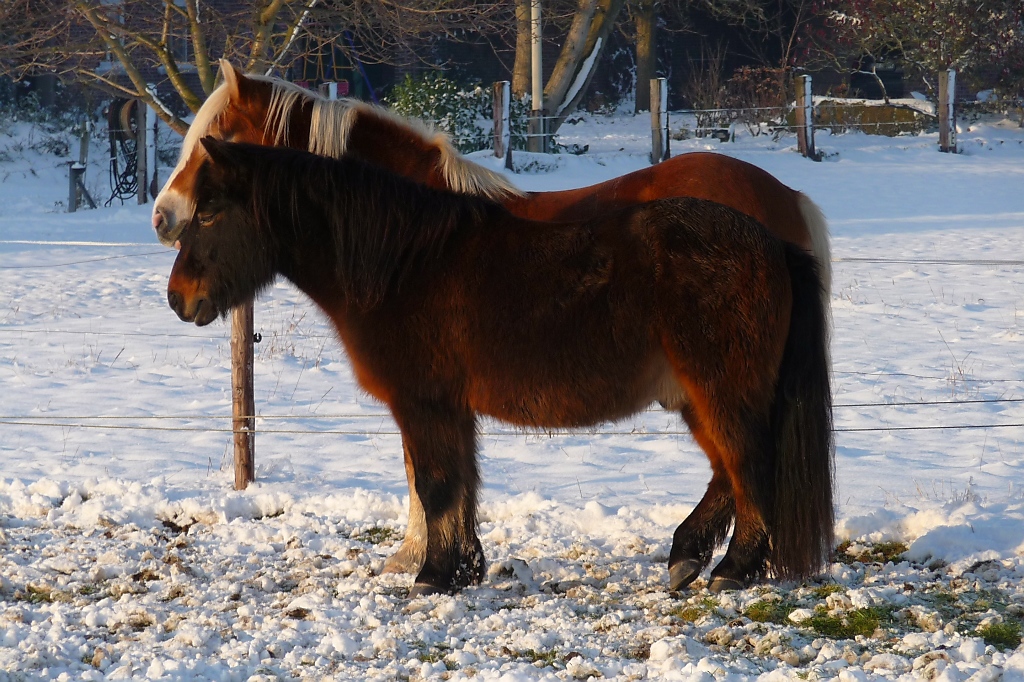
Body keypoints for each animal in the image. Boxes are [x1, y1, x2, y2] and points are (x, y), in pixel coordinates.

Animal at [149, 61, 831, 577]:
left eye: (209, 200)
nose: (162, 220)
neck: (406, 253)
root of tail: (776, 226)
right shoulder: (444, 402)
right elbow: (452, 481)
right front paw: (453, 565)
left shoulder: (424, 397)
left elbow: (432, 480)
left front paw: (426, 569)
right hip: (697, 395)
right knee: (729, 469)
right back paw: (689, 554)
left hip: (721, 391)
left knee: (749, 465)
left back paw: (732, 569)